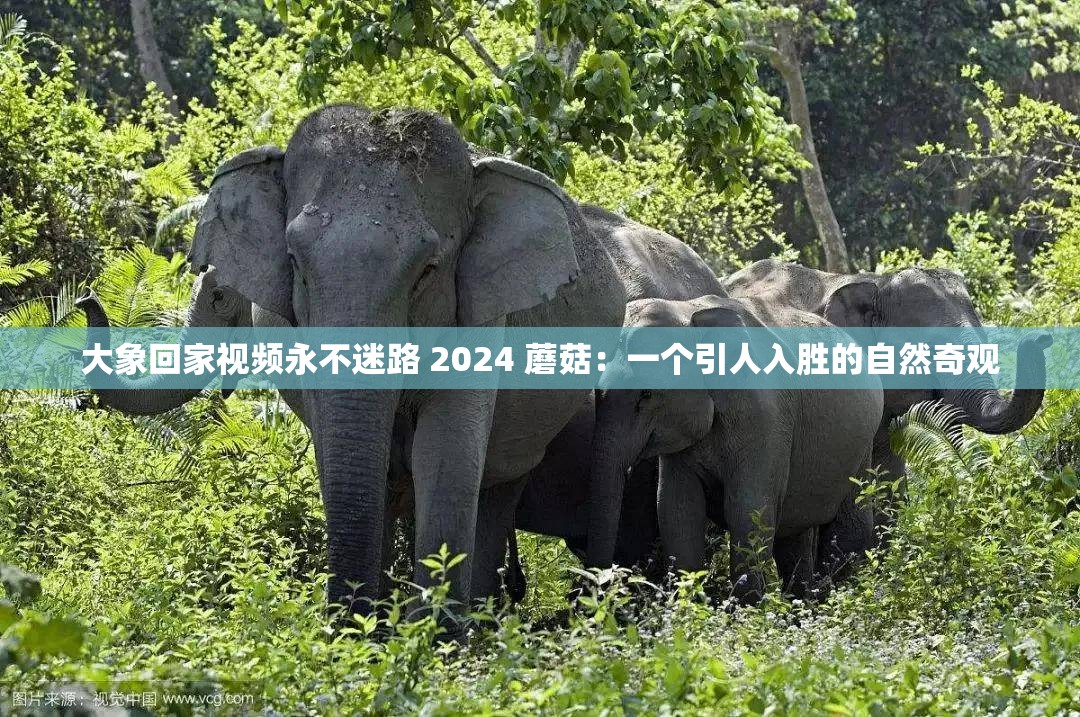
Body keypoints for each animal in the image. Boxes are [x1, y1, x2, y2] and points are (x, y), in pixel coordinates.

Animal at [79, 104, 631, 628]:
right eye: (294, 262)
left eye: (428, 271)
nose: (85, 299)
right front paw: (370, 636)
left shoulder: (482, 314)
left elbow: (445, 455)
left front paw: (428, 643)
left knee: (494, 489)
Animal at [585, 295, 884, 603]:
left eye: (646, 394)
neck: (688, 310)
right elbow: (676, 506)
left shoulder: (766, 420)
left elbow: (748, 508)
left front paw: (746, 608)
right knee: (794, 535)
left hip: (862, 444)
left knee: (848, 526)